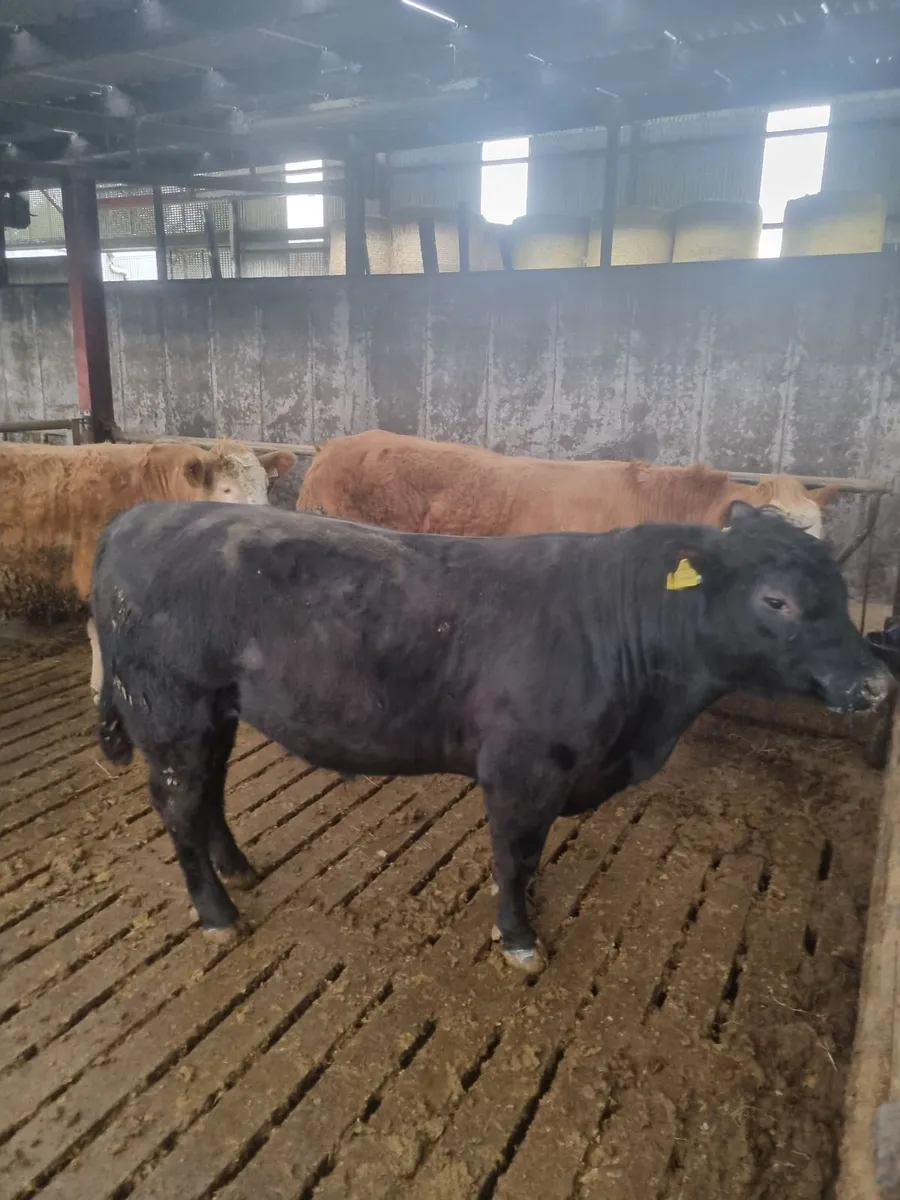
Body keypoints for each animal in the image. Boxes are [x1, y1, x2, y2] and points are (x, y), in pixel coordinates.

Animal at [91, 499, 890, 973]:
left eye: (840, 592)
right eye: (776, 601)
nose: (878, 685)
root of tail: (147, 513)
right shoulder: (521, 766)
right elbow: (516, 856)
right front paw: (520, 938)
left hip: (215, 709)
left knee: (210, 790)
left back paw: (238, 868)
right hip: (169, 706)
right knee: (179, 804)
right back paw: (217, 913)